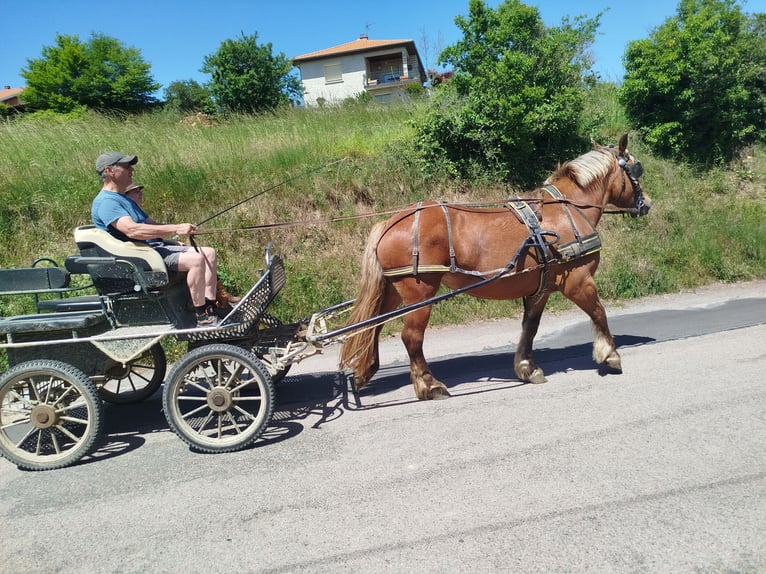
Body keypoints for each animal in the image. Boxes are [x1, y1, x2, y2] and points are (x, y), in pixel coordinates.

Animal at [339, 133, 651, 400]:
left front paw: (527, 367)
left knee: (373, 327)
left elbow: (530, 327)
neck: (568, 209)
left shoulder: (541, 288)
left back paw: (365, 370)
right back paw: (430, 385)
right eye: (636, 169)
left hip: (394, 291)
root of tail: (390, 222)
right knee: (411, 337)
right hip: (420, 293)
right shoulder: (578, 281)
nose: (646, 203)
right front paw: (610, 355)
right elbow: (599, 312)